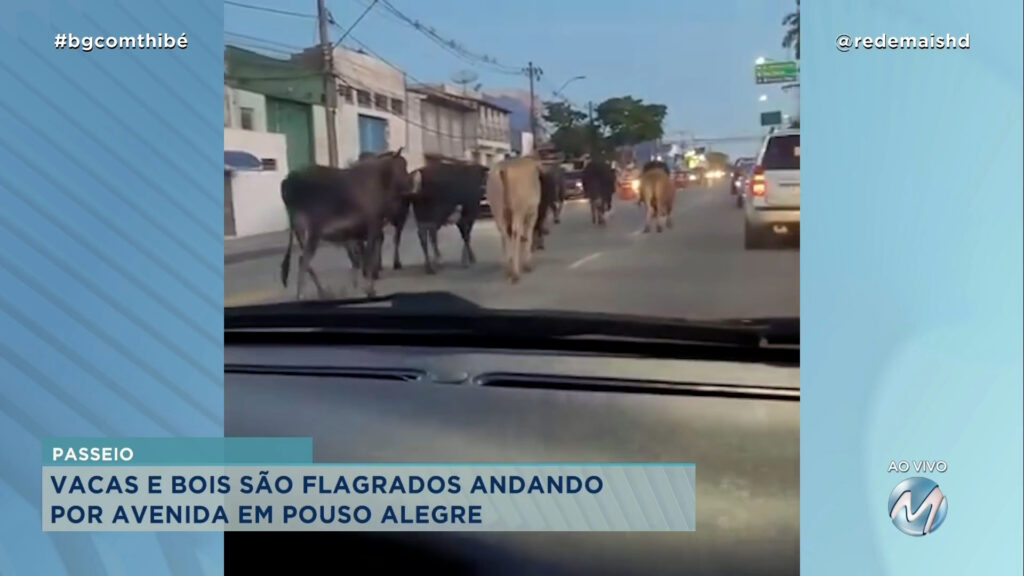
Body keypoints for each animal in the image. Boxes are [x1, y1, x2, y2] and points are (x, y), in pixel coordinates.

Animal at [280, 147, 411, 297]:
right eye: (402, 165)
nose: (410, 184)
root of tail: (288, 180)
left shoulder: (359, 231)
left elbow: (358, 258)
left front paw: (358, 285)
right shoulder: (372, 225)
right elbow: (367, 257)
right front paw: (369, 289)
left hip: (300, 231)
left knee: (304, 261)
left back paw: (322, 292)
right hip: (312, 231)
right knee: (304, 261)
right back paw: (303, 294)